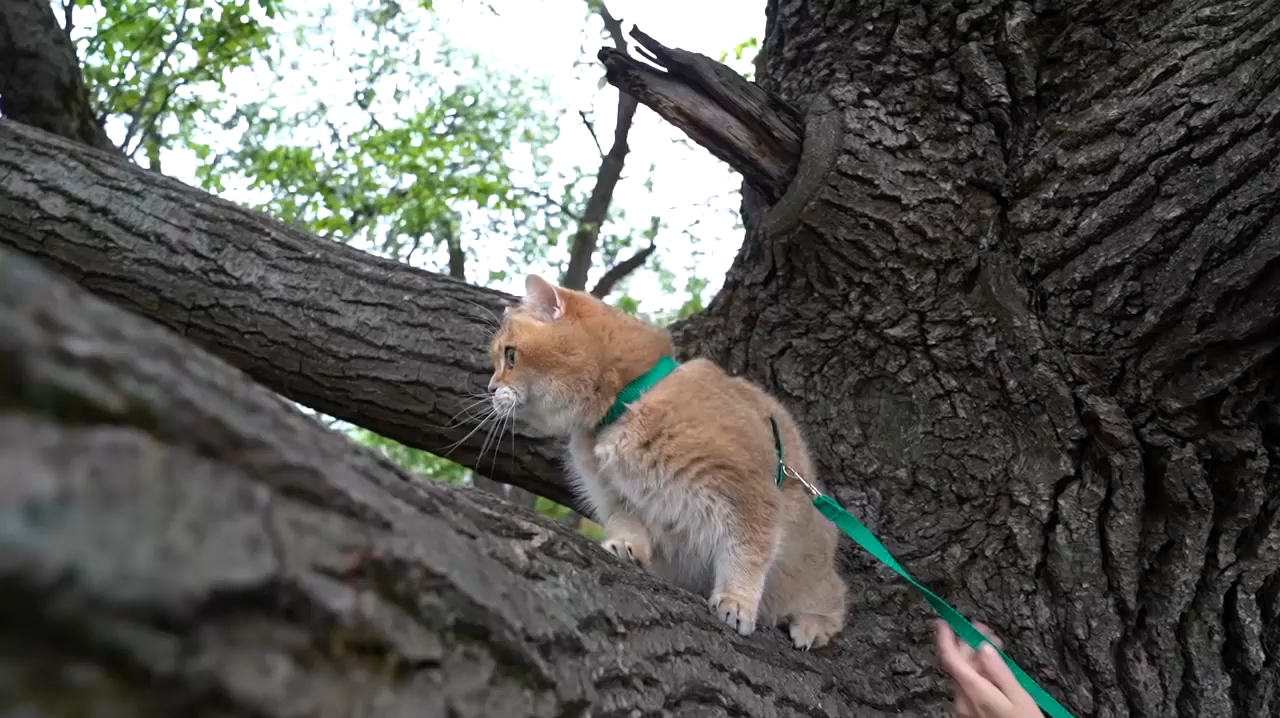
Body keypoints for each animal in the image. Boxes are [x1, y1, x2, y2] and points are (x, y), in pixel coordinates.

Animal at [483, 273, 844, 650]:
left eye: (510, 356)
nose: (491, 387)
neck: (628, 402)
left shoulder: (748, 494)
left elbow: (746, 553)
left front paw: (736, 602)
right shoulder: (612, 494)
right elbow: (627, 523)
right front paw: (627, 547)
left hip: (810, 570)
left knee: (835, 600)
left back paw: (811, 626)